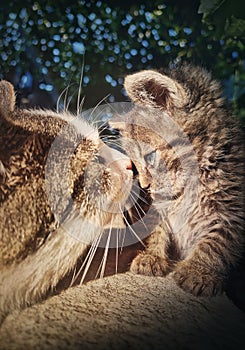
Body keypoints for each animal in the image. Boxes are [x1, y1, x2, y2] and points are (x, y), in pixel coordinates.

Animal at [110, 63, 244, 298]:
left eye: (150, 158)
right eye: (135, 166)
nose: (145, 187)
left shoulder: (232, 210)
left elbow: (217, 241)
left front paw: (198, 271)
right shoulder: (157, 208)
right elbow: (156, 230)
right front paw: (152, 256)